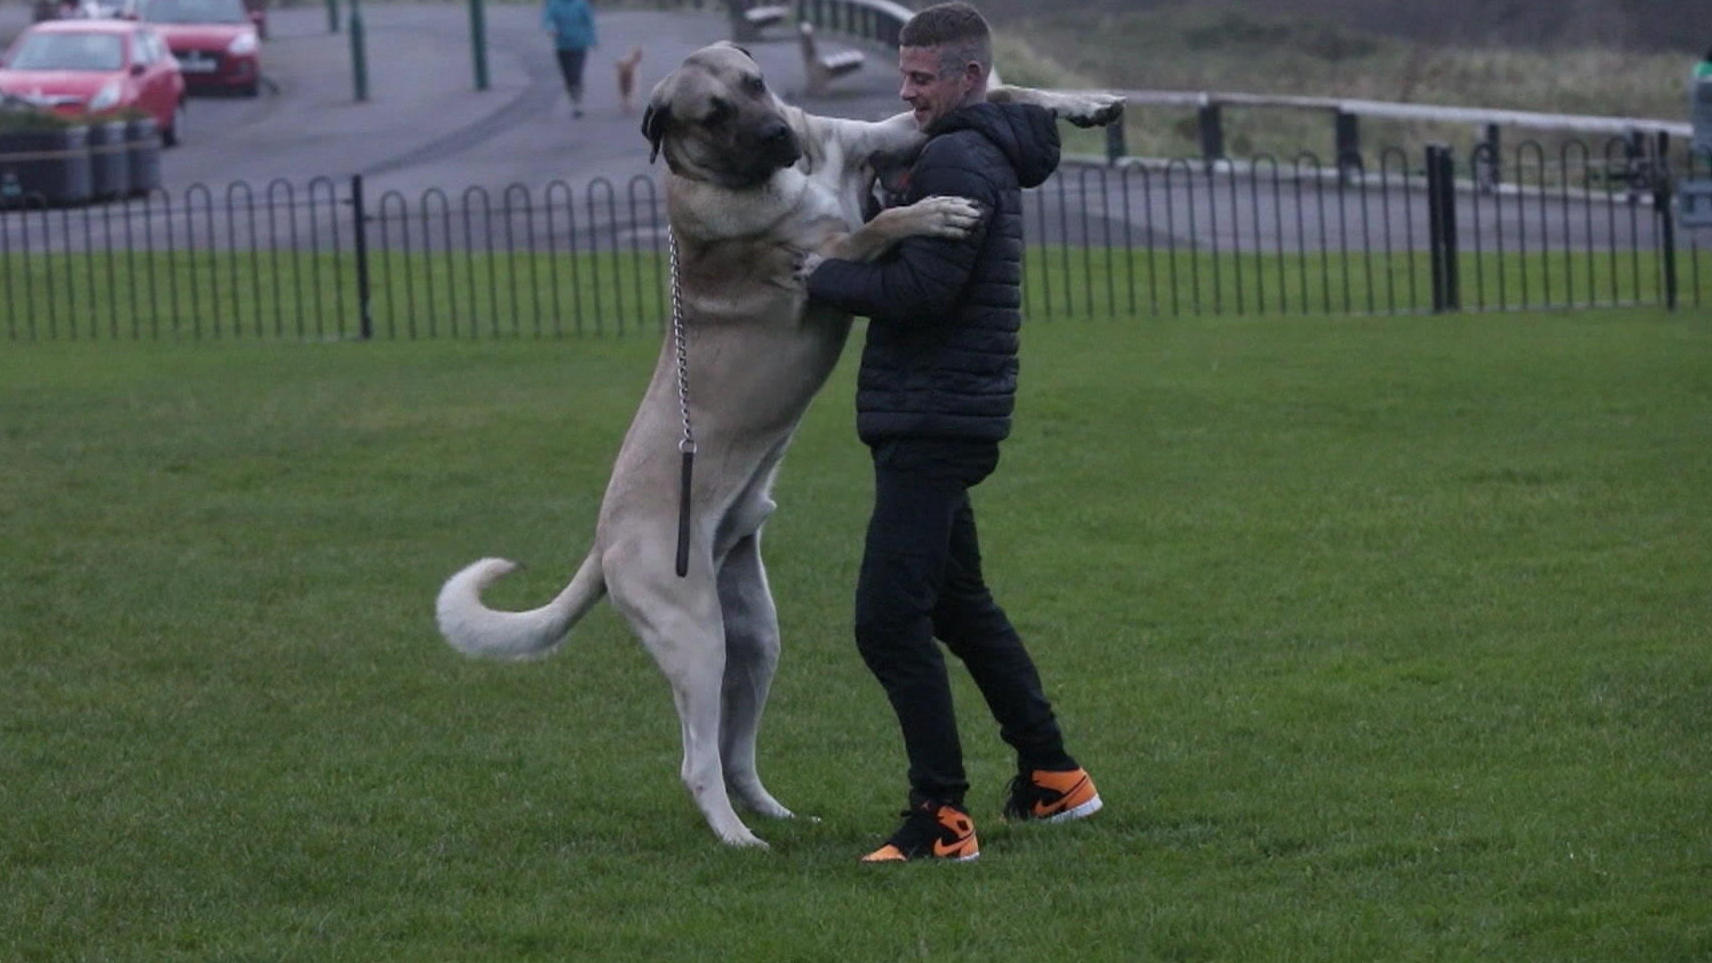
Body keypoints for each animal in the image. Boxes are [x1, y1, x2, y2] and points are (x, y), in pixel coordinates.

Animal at [434, 41, 1116, 843]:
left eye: (756, 83)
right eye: (712, 113)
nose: (778, 134)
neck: (777, 178)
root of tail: (604, 547)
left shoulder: (889, 136)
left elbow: (1007, 93)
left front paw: (1088, 105)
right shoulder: (822, 260)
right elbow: (874, 229)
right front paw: (933, 210)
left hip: (755, 635)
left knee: (734, 749)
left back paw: (777, 813)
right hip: (694, 633)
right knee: (697, 762)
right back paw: (739, 837)